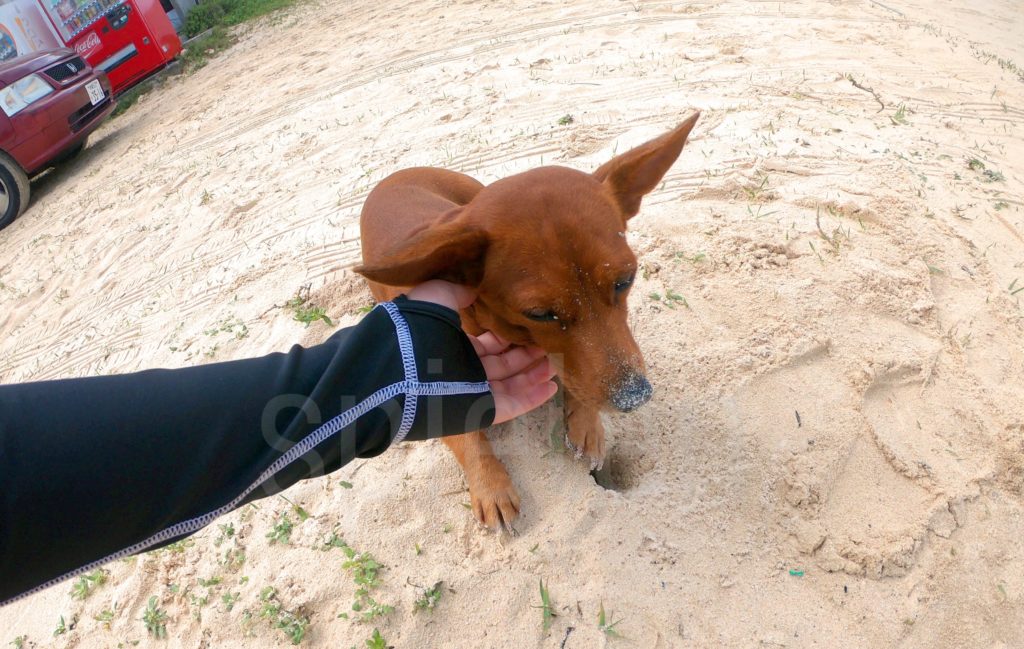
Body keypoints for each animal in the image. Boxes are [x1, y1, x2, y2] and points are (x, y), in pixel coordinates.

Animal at [356, 112, 700, 532]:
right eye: (540, 314)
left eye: (626, 280)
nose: (634, 397)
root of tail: (396, 174)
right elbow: (469, 438)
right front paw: (490, 484)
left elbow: (579, 380)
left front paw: (588, 425)